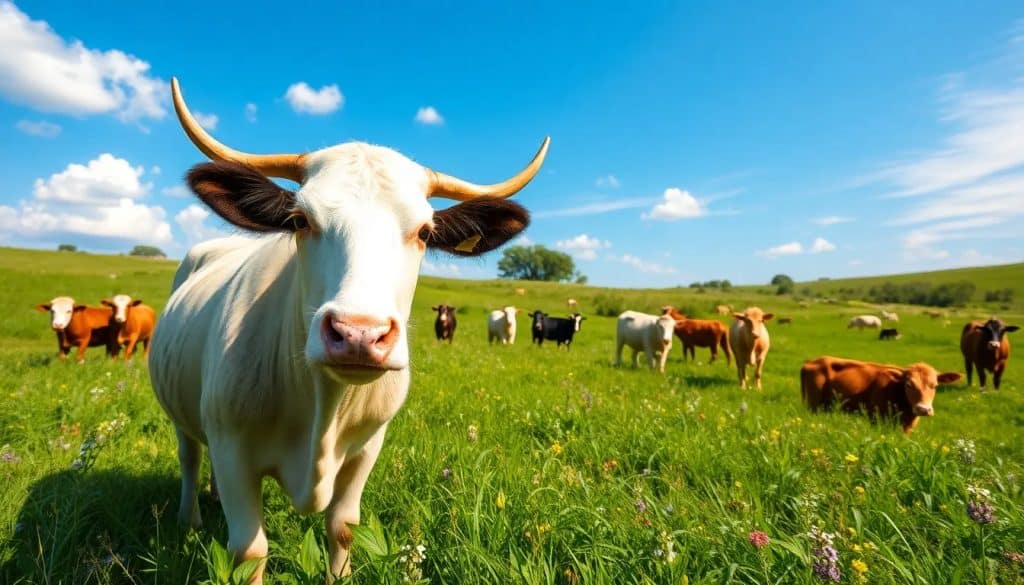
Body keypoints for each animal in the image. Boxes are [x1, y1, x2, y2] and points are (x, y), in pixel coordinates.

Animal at [149, 79, 545, 583]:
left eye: (423, 231)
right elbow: (250, 549)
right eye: (300, 220)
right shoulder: (232, 443)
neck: (322, 408)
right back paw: (190, 518)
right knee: (189, 456)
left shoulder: (367, 447)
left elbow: (342, 528)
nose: (359, 334)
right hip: (185, 416)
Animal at [800, 356, 961, 434]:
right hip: (814, 405)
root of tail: (812, 361)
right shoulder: (875, 418)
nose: (923, 409)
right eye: (908, 384)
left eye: (935, 385)